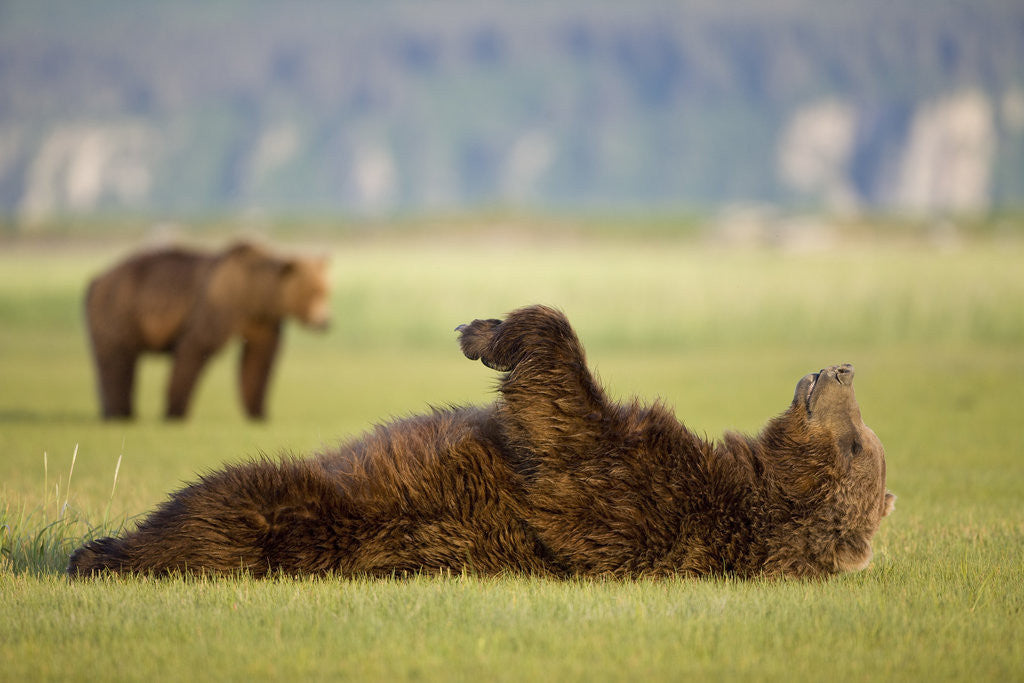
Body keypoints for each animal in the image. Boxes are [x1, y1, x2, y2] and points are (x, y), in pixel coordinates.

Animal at [68, 307, 892, 581]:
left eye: (859, 445)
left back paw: (100, 553)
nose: (842, 367)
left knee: (219, 510)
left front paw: (485, 333)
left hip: (309, 510)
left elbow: (562, 418)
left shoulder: (637, 491)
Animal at [86, 240, 331, 421]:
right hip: (120, 310)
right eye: (312, 292)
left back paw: (110, 412)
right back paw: (121, 414)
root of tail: (96, 279)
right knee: (118, 362)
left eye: (325, 291)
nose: (326, 322)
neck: (254, 295)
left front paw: (259, 413)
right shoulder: (217, 306)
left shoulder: (262, 322)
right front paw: (175, 412)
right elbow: (196, 349)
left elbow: (258, 360)